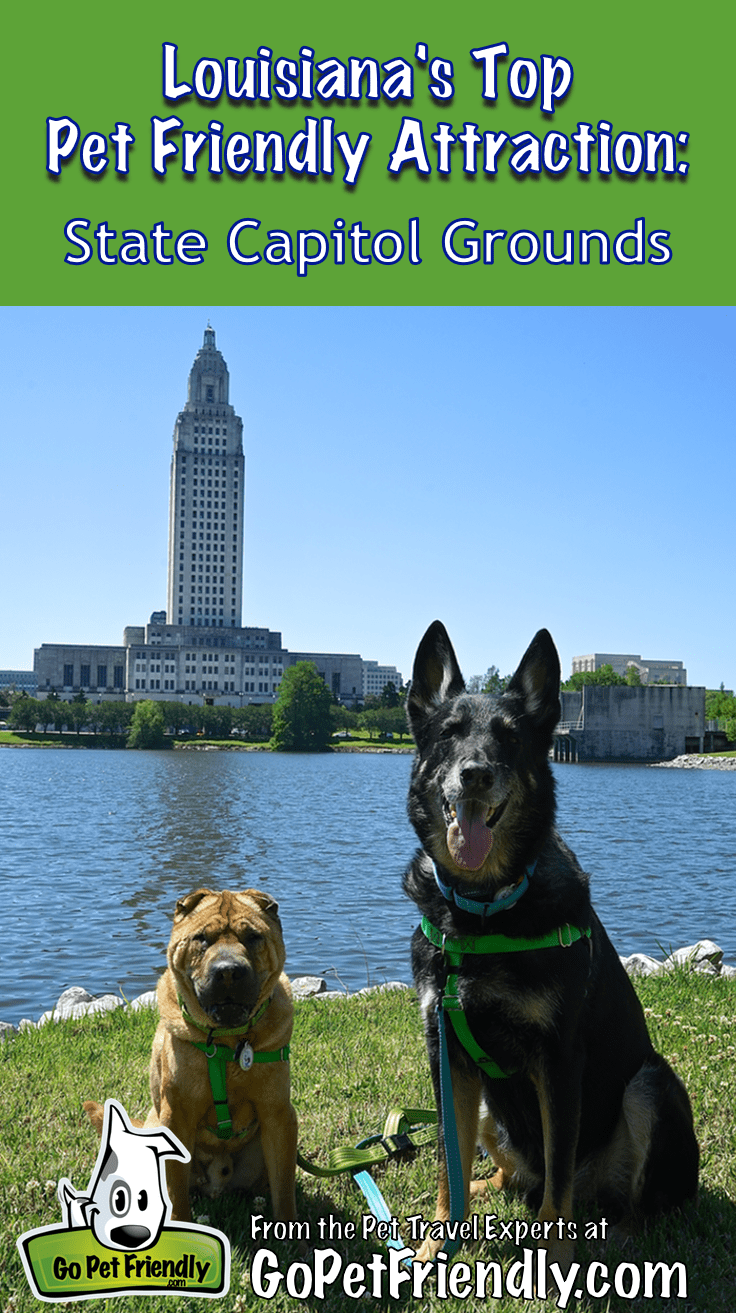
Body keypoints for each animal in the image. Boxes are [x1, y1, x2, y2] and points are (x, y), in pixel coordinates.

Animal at [83, 887, 295, 1223]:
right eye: (201, 938)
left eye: (253, 937)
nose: (228, 972)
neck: (228, 1044)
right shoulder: (176, 1116)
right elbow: (176, 1194)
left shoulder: (278, 1115)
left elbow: (284, 1189)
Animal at [404, 624, 697, 1270]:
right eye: (449, 733)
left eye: (511, 738)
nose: (475, 773)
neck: (484, 911)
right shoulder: (446, 1054)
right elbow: (447, 1160)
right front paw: (442, 1236)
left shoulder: (558, 1059)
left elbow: (558, 1180)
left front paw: (553, 1257)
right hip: (490, 1108)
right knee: (513, 1175)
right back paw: (487, 1188)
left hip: (651, 1083)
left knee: (631, 1205)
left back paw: (616, 1239)